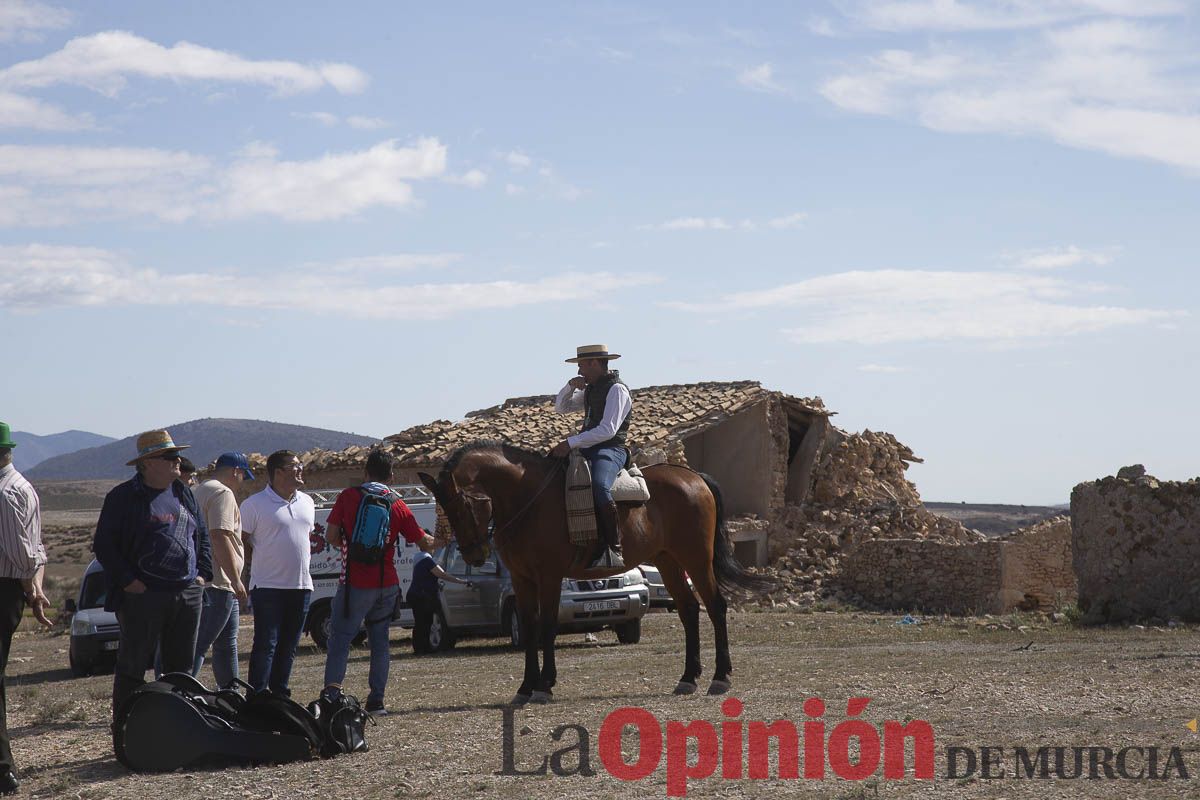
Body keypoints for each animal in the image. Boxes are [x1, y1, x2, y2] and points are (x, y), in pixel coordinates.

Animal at [420, 441, 768, 705]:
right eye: (445, 510)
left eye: (463, 506)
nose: (474, 555)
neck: (528, 498)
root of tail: (694, 477)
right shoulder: (522, 580)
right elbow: (529, 628)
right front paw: (525, 687)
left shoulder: (549, 576)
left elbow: (547, 626)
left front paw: (544, 686)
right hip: (668, 561)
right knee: (689, 609)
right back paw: (687, 678)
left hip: (695, 559)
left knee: (715, 607)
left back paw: (720, 678)